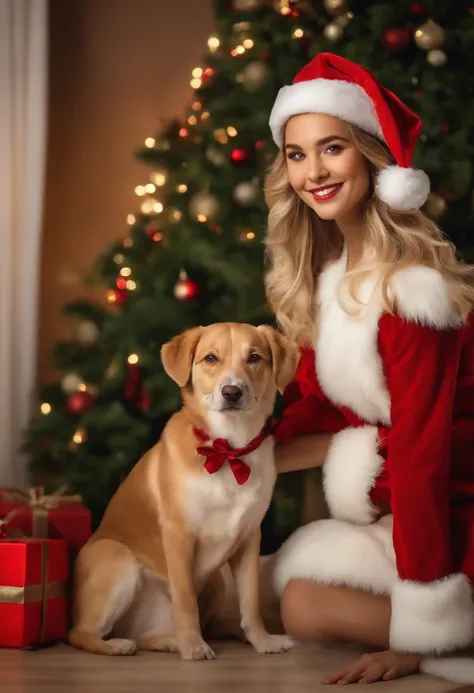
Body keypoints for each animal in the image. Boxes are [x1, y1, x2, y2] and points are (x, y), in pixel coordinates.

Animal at [68, 324, 298, 660]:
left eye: (254, 357)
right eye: (211, 358)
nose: (232, 392)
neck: (228, 449)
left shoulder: (249, 540)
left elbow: (251, 601)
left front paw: (262, 641)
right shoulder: (179, 536)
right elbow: (186, 599)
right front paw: (193, 646)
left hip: (215, 582)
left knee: (159, 634)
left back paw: (175, 640)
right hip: (119, 558)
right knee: (79, 634)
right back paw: (122, 645)